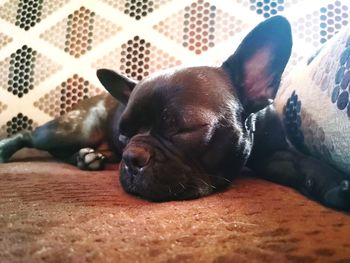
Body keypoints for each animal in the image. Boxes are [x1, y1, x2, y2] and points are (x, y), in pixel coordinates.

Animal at [0, 16, 350, 210]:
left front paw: (336, 185)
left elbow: (306, 163)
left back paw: (87, 158)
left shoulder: (274, 154)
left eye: (185, 129)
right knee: (30, 134)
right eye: (124, 133)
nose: (131, 156)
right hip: (74, 127)